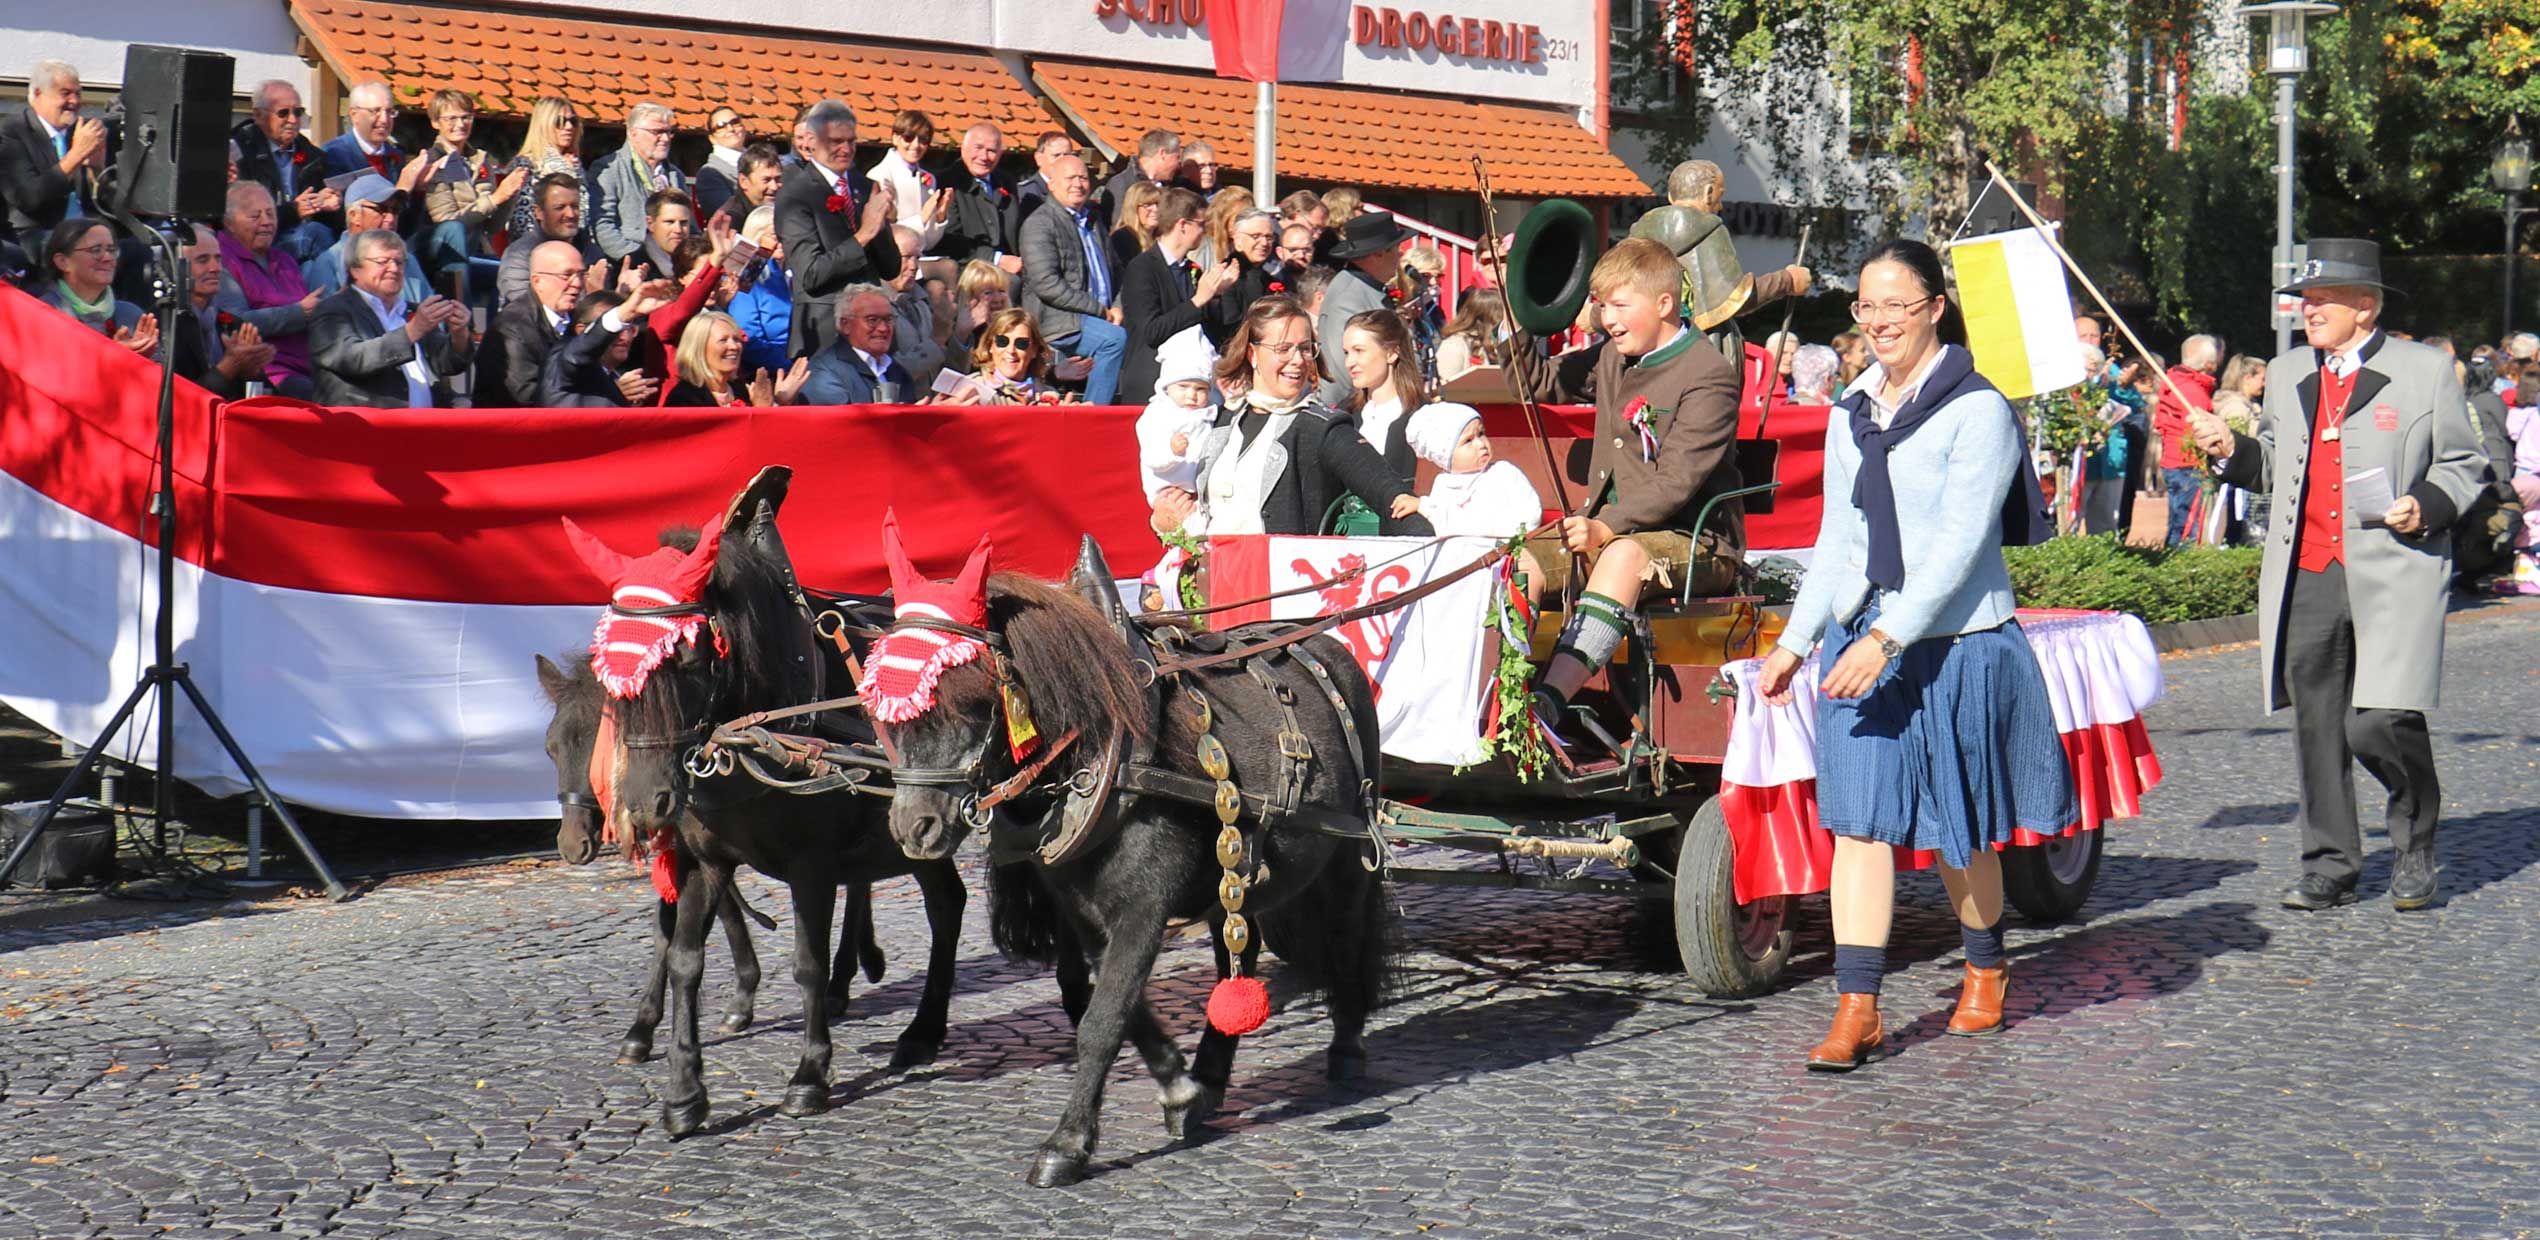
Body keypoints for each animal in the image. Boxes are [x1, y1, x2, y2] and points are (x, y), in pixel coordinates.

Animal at [528, 647, 883, 1067]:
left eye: (603, 748)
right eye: (551, 748)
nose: (572, 843)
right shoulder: (696, 847)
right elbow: (682, 924)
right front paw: (657, 1023)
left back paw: (842, 980)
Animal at [576, 467, 960, 1133]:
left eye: (688, 655)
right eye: (608, 670)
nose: (646, 804)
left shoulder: (812, 865)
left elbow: (805, 962)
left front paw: (809, 1076)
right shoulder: (703, 859)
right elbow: (684, 958)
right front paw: (684, 1091)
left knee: (948, 907)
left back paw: (921, 1027)